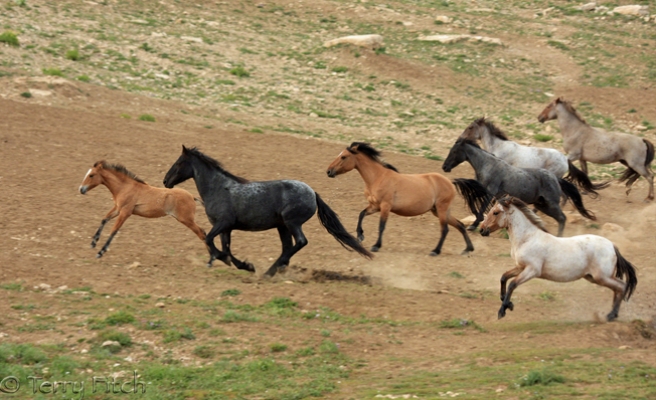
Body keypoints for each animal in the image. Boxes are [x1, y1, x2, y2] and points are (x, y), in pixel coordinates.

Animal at [79, 160, 208, 258]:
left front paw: (100, 252)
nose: (81, 189)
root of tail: (192, 196)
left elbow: (114, 230)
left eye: (91, 175)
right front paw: (93, 243)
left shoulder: (125, 213)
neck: (125, 187)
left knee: (202, 233)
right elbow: (104, 219)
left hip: (186, 220)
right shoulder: (118, 208)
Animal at [162, 145, 372, 276]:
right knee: (288, 247)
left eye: (179, 162)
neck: (219, 188)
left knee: (300, 242)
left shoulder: (223, 224)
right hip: (283, 226)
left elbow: (209, 240)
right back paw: (276, 269)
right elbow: (225, 248)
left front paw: (225, 260)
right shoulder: (226, 228)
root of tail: (312, 193)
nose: (165, 181)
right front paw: (243, 265)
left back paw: (270, 271)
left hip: (292, 222)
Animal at [440, 138, 596, 236]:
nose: (445, 167)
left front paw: (474, 224)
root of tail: (556, 178)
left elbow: (482, 207)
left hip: (551, 204)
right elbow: (473, 200)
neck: (488, 166)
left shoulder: (490, 193)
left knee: (562, 218)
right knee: (559, 218)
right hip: (542, 205)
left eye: (454, 151)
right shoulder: (484, 191)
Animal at [480, 195, 640, 322]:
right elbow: (503, 277)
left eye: (495, 212)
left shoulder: (532, 270)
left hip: (602, 277)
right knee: (618, 288)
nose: (482, 229)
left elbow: (512, 284)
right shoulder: (520, 267)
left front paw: (503, 310)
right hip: (594, 277)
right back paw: (612, 314)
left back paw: (611, 315)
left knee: (622, 286)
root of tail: (612, 246)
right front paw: (508, 303)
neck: (527, 238)